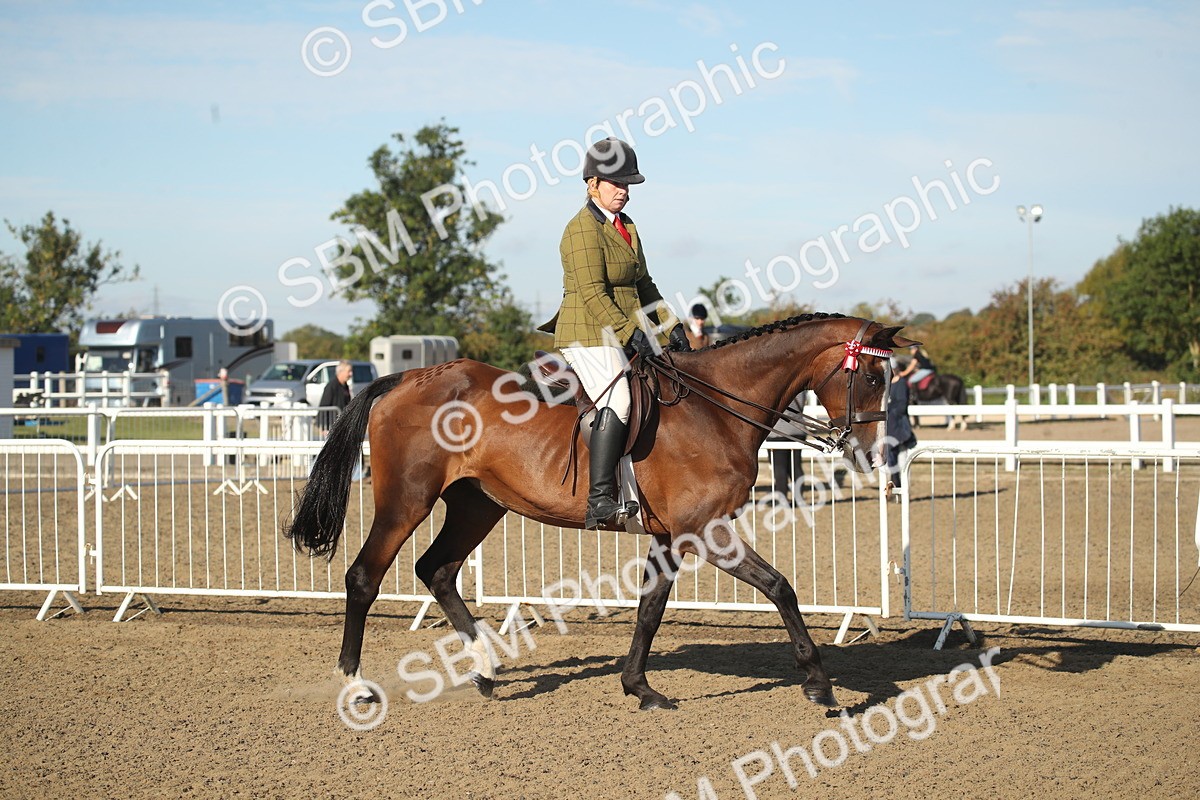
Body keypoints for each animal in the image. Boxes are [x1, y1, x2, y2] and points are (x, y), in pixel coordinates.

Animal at [284, 313, 916, 711]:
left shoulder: (672, 536)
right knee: (364, 578)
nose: (867, 453)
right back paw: (354, 686)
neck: (715, 410)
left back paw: (485, 670)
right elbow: (781, 587)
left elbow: (649, 610)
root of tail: (408, 378)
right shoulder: (706, 532)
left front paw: (640, 688)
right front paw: (820, 685)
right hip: (405, 501)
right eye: (871, 375)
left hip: (477, 504)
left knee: (436, 570)